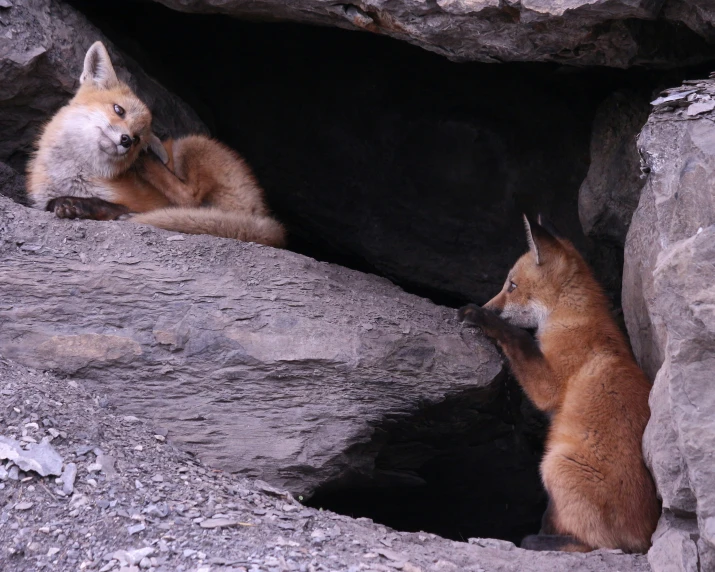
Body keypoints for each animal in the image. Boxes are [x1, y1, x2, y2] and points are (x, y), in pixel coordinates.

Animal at [28, 40, 286, 246]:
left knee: (189, 199)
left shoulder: (143, 201)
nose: (127, 141)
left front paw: (82, 206)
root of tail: (261, 211)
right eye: (119, 110)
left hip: (190, 144)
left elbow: (116, 205)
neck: (75, 173)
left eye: (137, 138)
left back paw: (147, 164)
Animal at [458, 217, 660, 552]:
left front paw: (481, 316)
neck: (570, 319)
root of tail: (648, 537)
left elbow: (519, 339)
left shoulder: (548, 386)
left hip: (556, 465)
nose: (489, 304)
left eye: (511, 286)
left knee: (597, 544)